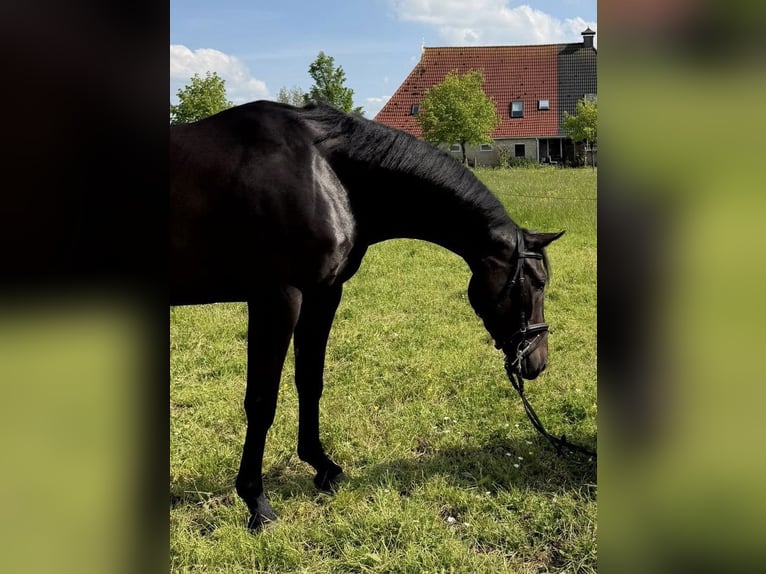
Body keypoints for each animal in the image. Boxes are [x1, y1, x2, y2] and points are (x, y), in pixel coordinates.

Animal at [170, 100, 564, 530]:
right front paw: (256, 500)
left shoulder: (324, 294)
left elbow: (310, 381)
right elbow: (261, 401)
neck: (323, 171)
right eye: (537, 282)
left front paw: (321, 466)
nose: (538, 361)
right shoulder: (277, 298)